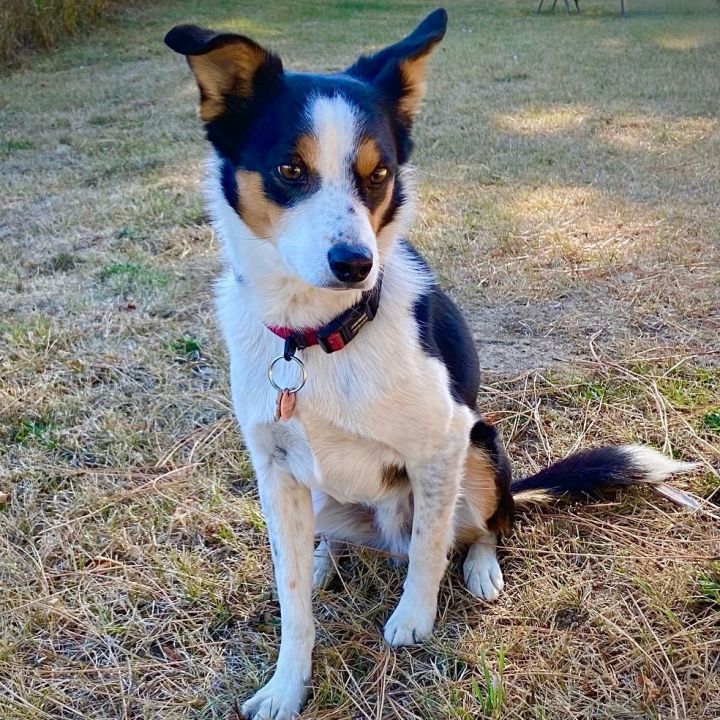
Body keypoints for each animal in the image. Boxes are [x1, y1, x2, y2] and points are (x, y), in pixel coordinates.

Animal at [166, 11, 696, 720]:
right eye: (288, 167)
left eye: (379, 174)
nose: (356, 264)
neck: (319, 334)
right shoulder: (274, 469)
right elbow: (293, 601)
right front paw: (286, 683)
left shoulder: (440, 444)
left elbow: (428, 548)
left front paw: (413, 619)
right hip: (323, 493)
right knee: (334, 542)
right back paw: (323, 558)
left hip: (481, 447)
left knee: (483, 526)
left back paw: (479, 566)